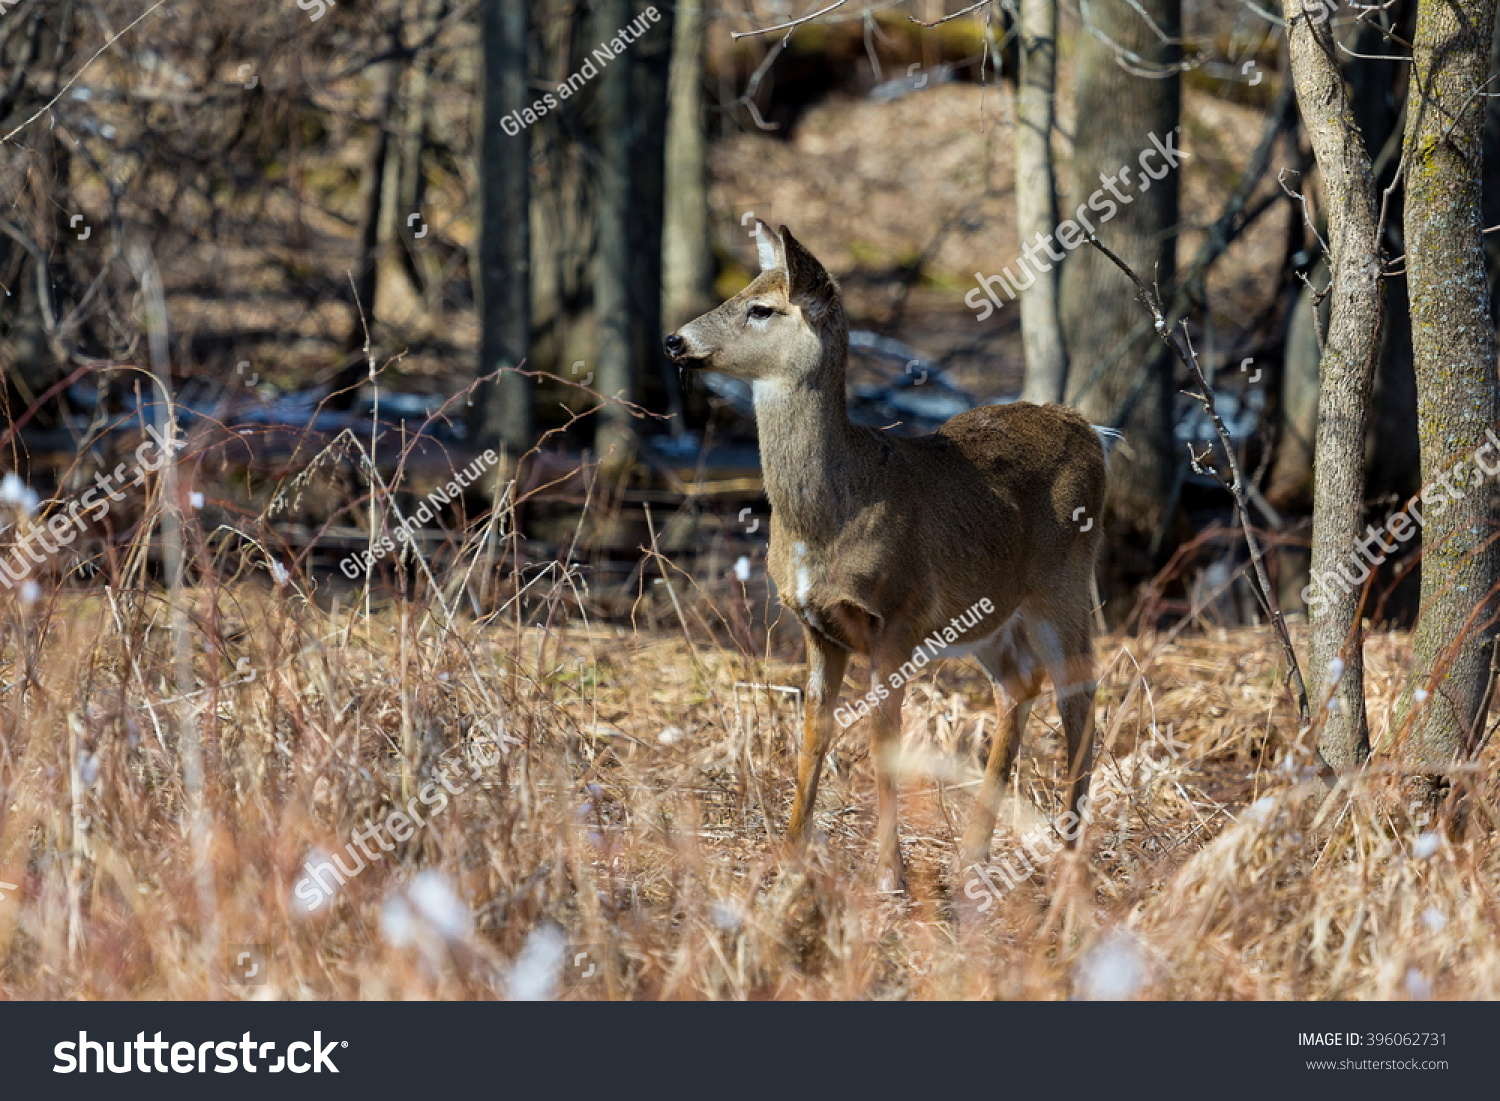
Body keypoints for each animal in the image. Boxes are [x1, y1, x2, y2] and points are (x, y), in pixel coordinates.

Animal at [663, 222, 1110, 900]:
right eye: (738, 291)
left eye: (761, 308)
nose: (674, 339)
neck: (826, 519)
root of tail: (1089, 428)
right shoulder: (816, 626)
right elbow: (812, 735)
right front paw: (788, 858)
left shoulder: (897, 615)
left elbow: (882, 743)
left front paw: (887, 874)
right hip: (989, 615)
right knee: (1021, 684)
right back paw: (973, 856)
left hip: (1063, 583)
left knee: (1080, 696)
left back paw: (1068, 857)